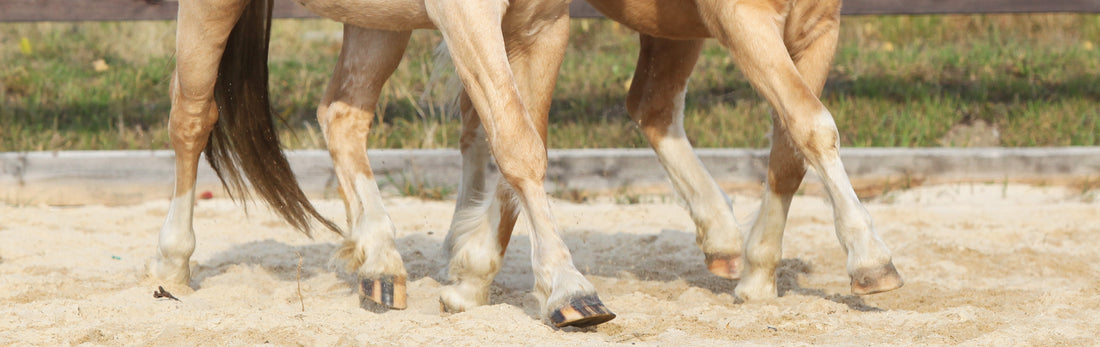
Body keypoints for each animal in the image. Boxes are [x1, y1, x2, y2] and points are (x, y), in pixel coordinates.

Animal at [151, 0, 620, 328]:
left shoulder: (546, 23)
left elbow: (528, 141)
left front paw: (471, 284)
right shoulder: (469, 15)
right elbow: (515, 144)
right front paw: (569, 289)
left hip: (377, 21)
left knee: (342, 114)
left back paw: (381, 263)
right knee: (191, 117)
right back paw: (172, 265)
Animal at [327, 0, 902, 312]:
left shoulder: (819, 23)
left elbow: (791, 148)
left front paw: (759, 275)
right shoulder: (742, 17)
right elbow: (811, 125)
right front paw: (872, 259)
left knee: (648, 105)